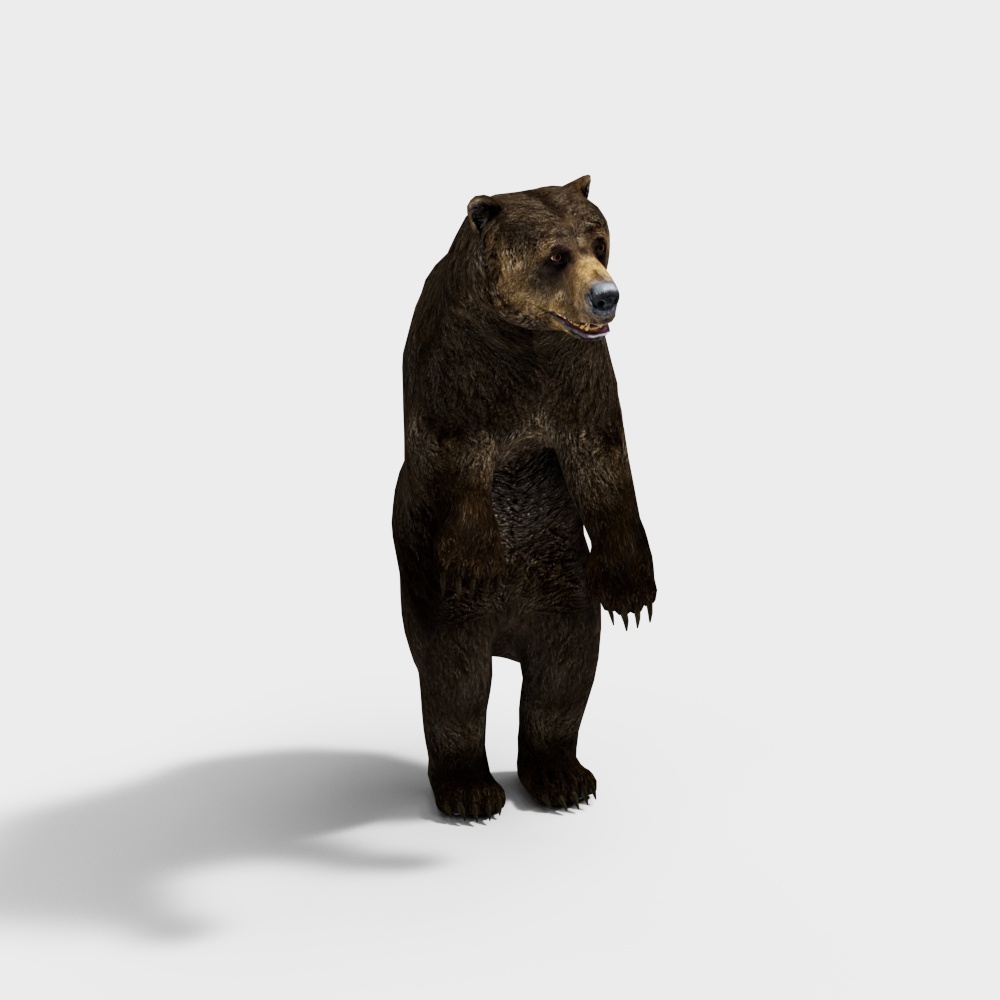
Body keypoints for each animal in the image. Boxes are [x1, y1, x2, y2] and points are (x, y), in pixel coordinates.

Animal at [392, 176, 655, 819]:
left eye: (599, 242)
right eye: (555, 255)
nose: (606, 297)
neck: (523, 337)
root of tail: (508, 637)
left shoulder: (577, 372)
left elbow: (602, 458)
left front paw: (632, 591)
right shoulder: (458, 365)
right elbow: (458, 457)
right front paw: (477, 559)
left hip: (562, 585)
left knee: (563, 672)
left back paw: (563, 777)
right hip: (436, 590)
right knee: (457, 680)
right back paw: (469, 789)